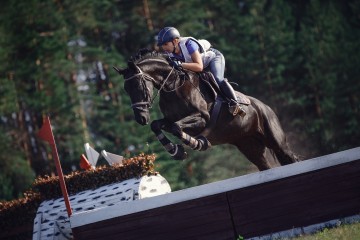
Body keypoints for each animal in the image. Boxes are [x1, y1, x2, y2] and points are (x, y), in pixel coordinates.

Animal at [115, 49, 298, 171]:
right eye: (126, 89)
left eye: (138, 86)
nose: (140, 118)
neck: (173, 85)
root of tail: (266, 107)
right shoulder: (168, 119)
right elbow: (157, 125)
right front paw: (176, 151)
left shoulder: (202, 118)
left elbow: (176, 127)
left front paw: (196, 143)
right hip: (250, 146)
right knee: (265, 165)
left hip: (276, 141)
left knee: (289, 157)